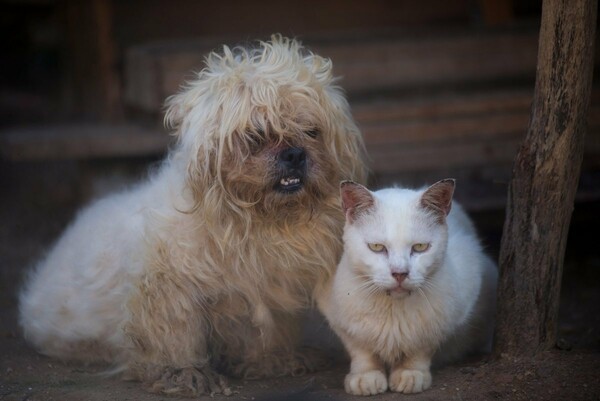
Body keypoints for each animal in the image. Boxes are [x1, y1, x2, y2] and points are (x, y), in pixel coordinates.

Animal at [18, 33, 368, 394]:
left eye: (312, 132)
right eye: (257, 136)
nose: (295, 153)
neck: (251, 222)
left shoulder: (257, 290)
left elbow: (259, 331)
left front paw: (270, 360)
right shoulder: (167, 285)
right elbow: (173, 334)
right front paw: (183, 373)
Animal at [322, 180, 500, 396]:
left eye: (420, 247)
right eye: (376, 247)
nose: (400, 273)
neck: (393, 310)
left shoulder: (451, 311)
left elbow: (420, 349)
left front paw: (411, 373)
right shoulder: (341, 321)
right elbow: (361, 351)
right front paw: (366, 376)